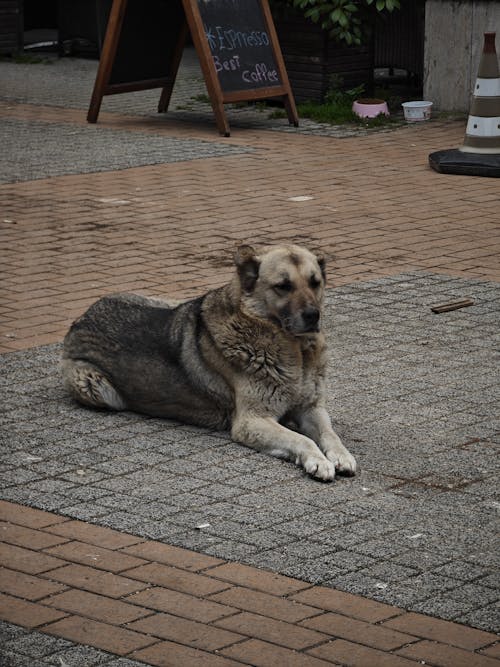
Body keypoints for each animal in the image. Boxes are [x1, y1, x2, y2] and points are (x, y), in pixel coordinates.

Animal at [62, 244, 358, 480]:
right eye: (283, 286)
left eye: (315, 282)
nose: (313, 316)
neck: (295, 352)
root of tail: (81, 318)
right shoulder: (251, 421)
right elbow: (303, 439)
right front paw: (317, 459)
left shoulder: (311, 407)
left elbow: (329, 433)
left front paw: (340, 454)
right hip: (97, 388)